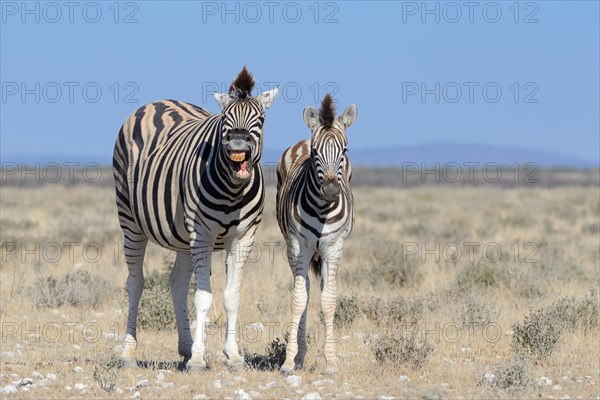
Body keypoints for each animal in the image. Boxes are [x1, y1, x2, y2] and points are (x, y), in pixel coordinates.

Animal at [111, 67, 278, 370]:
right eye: (225, 121)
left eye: (260, 120)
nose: (238, 144)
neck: (233, 191)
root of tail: (158, 101)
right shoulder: (201, 234)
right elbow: (202, 297)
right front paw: (199, 359)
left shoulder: (243, 238)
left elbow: (231, 296)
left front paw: (232, 355)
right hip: (131, 221)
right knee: (135, 283)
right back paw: (129, 352)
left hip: (181, 236)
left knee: (177, 282)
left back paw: (185, 347)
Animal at [276, 94, 356, 376]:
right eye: (315, 152)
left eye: (344, 151)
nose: (331, 190)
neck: (322, 209)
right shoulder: (298, 245)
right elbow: (299, 299)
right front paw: (289, 361)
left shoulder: (335, 246)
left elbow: (329, 300)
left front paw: (331, 361)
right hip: (294, 249)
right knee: (307, 290)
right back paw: (300, 355)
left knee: (320, 290)